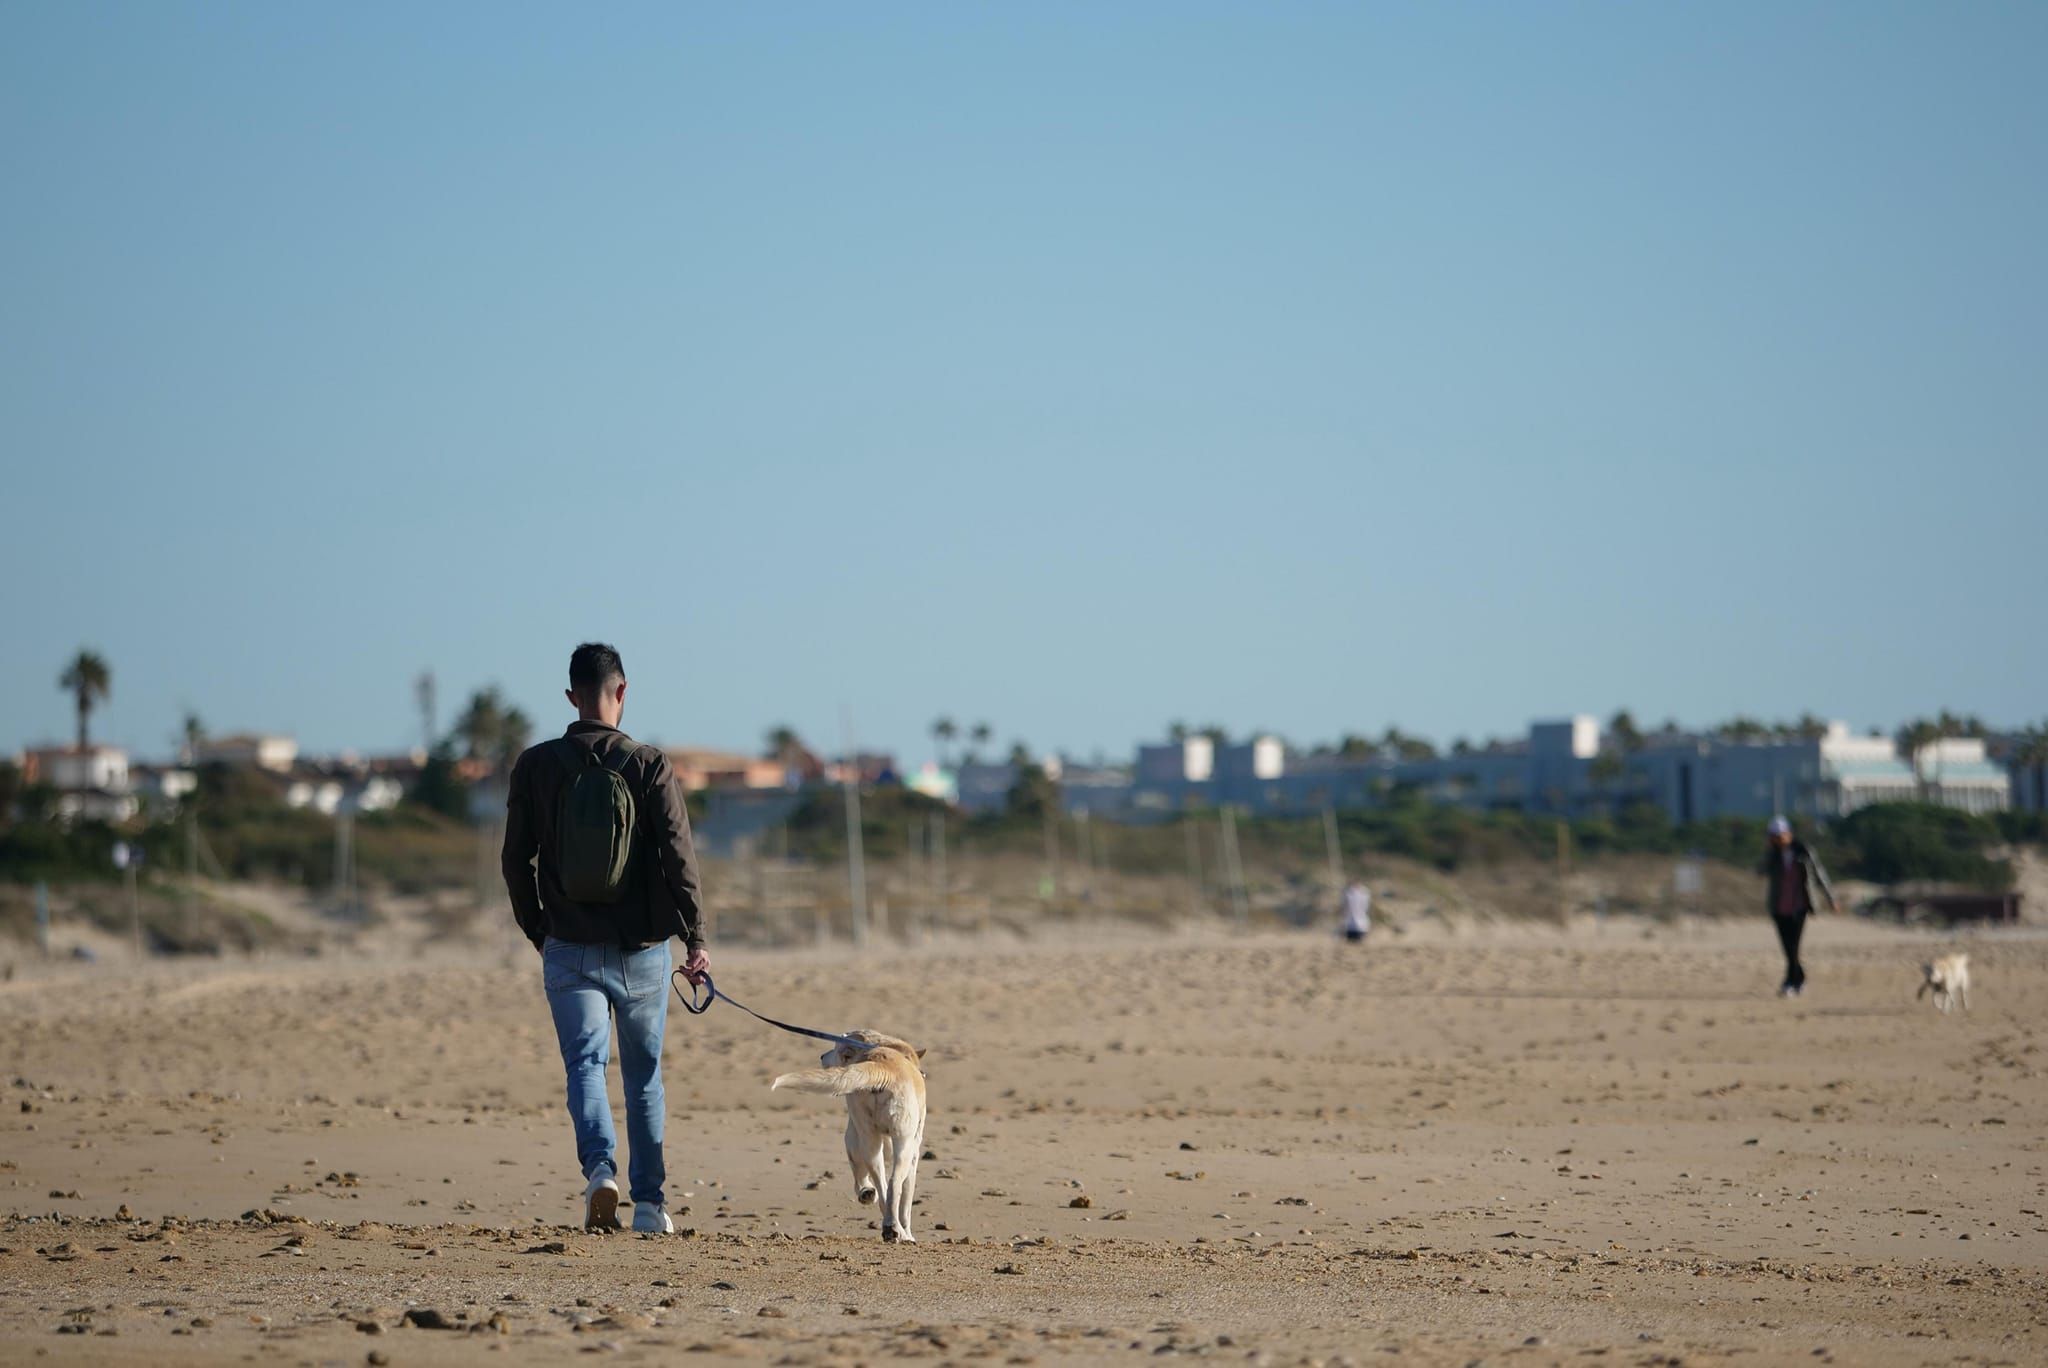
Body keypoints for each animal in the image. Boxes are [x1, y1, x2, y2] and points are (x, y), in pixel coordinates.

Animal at [770, 1023, 925, 1236]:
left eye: (836, 1049)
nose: (821, 1056)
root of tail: (881, 1066)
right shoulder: (913, 1151)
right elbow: (906, 1204)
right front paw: (908, 1233)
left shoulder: (853, 1136)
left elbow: (860, 1172)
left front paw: (866, 1193)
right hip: (904, 1143)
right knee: (894, 1184)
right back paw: (895, 1229)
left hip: (868, 1137)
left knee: (881, 1185)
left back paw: (886, 1222)